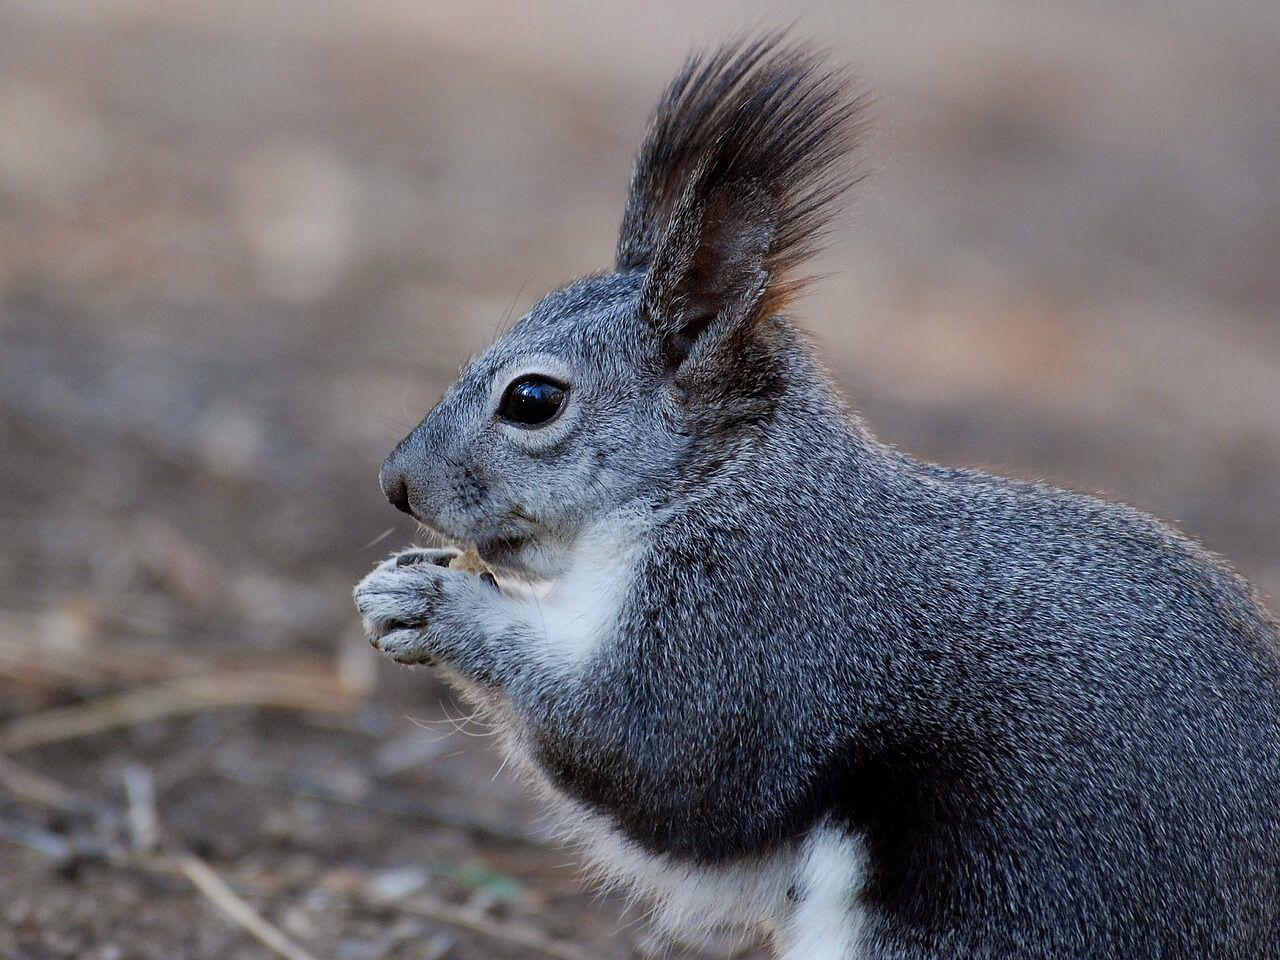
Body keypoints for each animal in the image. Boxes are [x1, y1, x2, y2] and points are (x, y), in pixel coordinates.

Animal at [355, 33, 1280, 960]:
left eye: (533, 400)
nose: (397, 484)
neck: (718, 485)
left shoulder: (758, 627)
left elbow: (657, 758)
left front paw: (437, 606)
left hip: (996, 905)